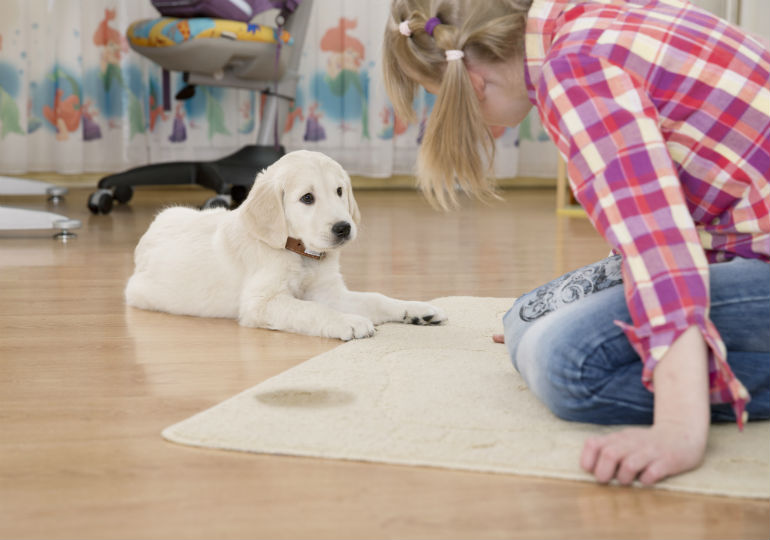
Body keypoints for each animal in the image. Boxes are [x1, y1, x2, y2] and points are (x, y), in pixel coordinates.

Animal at [124, 150, 448, 340]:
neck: (301, 253)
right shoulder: (261, 303)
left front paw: (415, 309)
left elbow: (375, 298)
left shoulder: (329, 292)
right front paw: (349, 321)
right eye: (307, 198)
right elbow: (311, 310)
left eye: (339, 191)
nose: (343, 228)